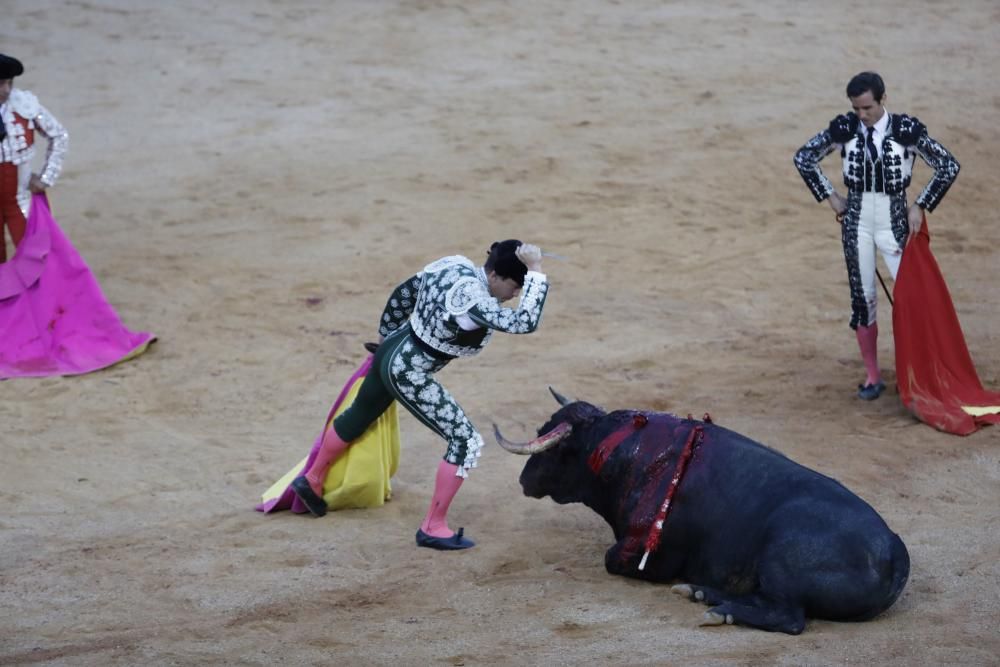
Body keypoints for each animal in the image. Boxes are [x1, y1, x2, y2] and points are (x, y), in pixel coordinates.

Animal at [496, 396, 912, 636]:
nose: (523, 479)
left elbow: (610, 559)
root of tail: (893, 550)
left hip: (781, 562)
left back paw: (719, 609)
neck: (628, 454)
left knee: (788, 617)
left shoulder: (647, 556)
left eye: (553, 447)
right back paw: (702, 592)